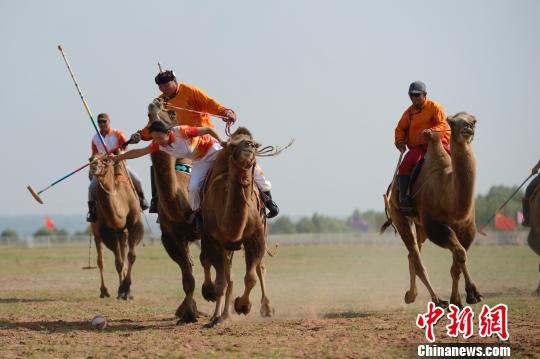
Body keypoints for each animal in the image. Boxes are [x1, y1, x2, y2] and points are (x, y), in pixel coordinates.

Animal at [89, 156, 143, 300]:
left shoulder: (133, 223)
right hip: (99, 231)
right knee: (101, 259)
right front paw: (121, 290)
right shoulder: (107, 230)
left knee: (123, 254)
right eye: (90, 158)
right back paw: (104, 291)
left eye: (105, 160)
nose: (93, 165)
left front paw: (127, 291)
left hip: (122, 232)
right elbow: (117, 262)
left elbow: (131, 256)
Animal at [199, 128, 274, 328]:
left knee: (259, 267)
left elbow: (251, 277)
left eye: (254, 144)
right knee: (218, 270)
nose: (249, 146)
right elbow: (221, 281)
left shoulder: (255, 236)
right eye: (232, 145)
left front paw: (243, 305)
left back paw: (267, 308)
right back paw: (217, 311)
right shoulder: (212, 239)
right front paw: (217, 316)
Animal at [382, 113, 484, 310]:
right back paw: (437, 300)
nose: (468, 127)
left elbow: (457, 262)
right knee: (416, 258)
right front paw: (472, 293)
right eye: (452, 122)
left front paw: (458, 301)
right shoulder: (434, 225)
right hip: (400, 217)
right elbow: (460, 253)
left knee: (412, 255)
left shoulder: (467, 228)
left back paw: (411, 295)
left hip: (420, 226)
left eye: (473, 120)